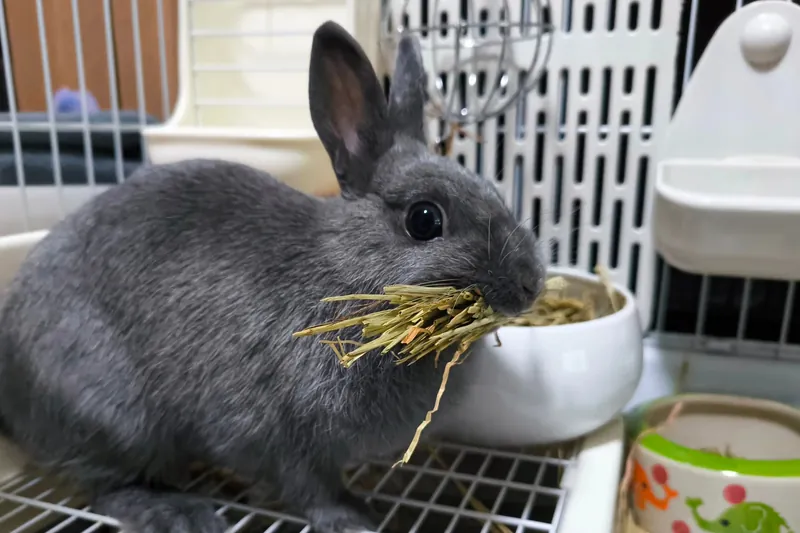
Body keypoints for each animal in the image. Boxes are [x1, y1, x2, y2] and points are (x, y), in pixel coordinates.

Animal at [0, 20, 545, 533]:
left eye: (491, 187)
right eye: (424, 219)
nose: (530, 284)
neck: (339, 270)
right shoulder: (281, 436)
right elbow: (309, 486)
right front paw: (353, 517)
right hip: (115, 417)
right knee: (104, 485)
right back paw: (178, 511)